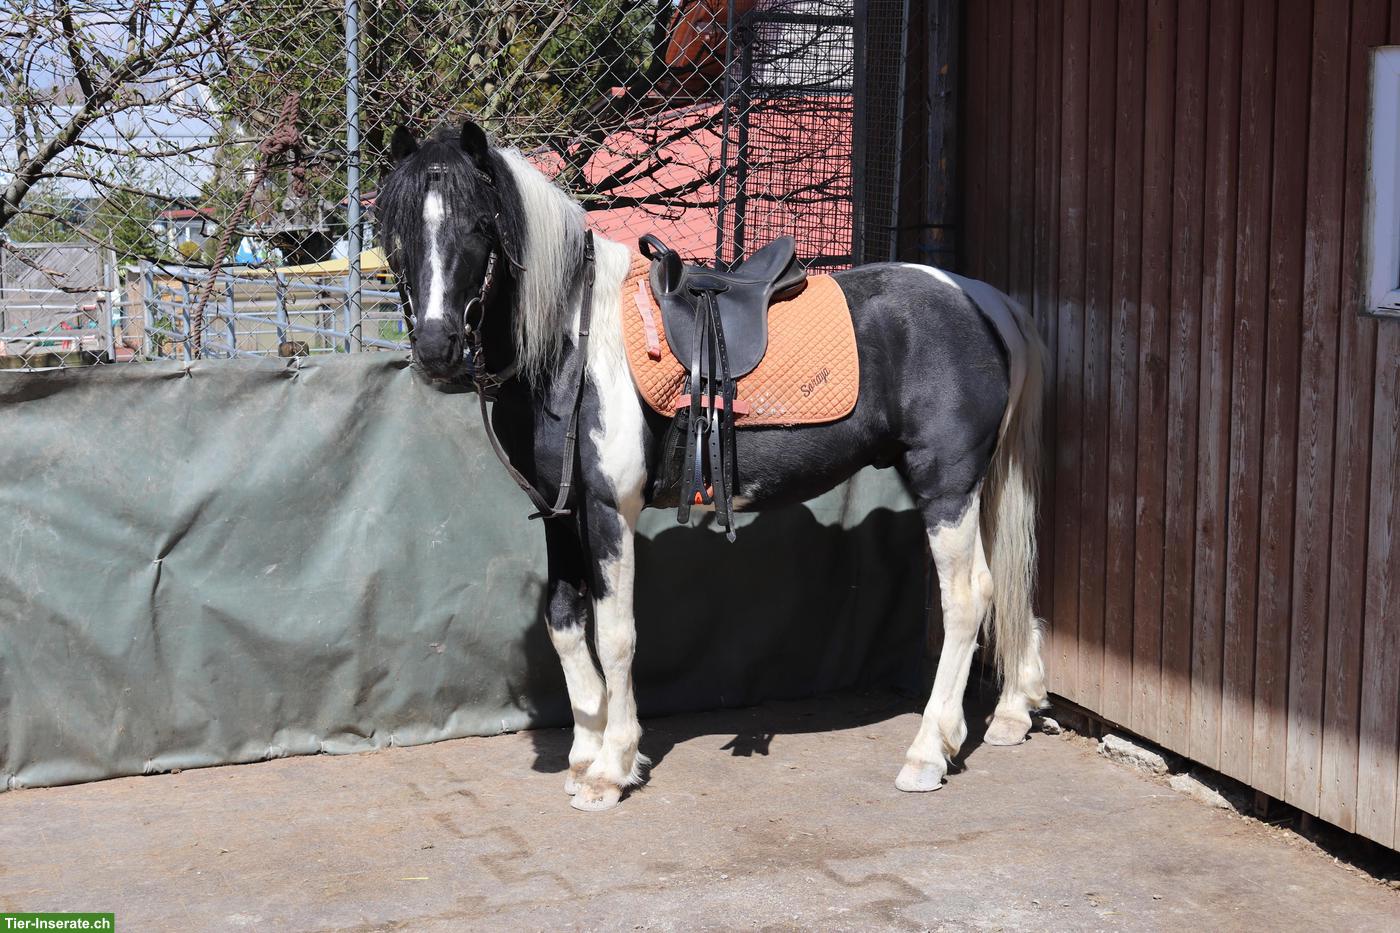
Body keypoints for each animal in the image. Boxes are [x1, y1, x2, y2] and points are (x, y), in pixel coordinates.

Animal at [377, 121, 1049, 812]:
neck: (572, 344)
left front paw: (612, 768)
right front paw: (584, 754)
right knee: (1003, 585)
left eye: (479, 225)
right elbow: (564, 623)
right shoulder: (558, 512)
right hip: (973, 487)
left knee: (967, 597)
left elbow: (615, 634)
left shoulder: (607, 508)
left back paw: (926, 754)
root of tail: (980, 299)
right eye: (396, 228)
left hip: (945, 484)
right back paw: (1005, 715)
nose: (435, 348)